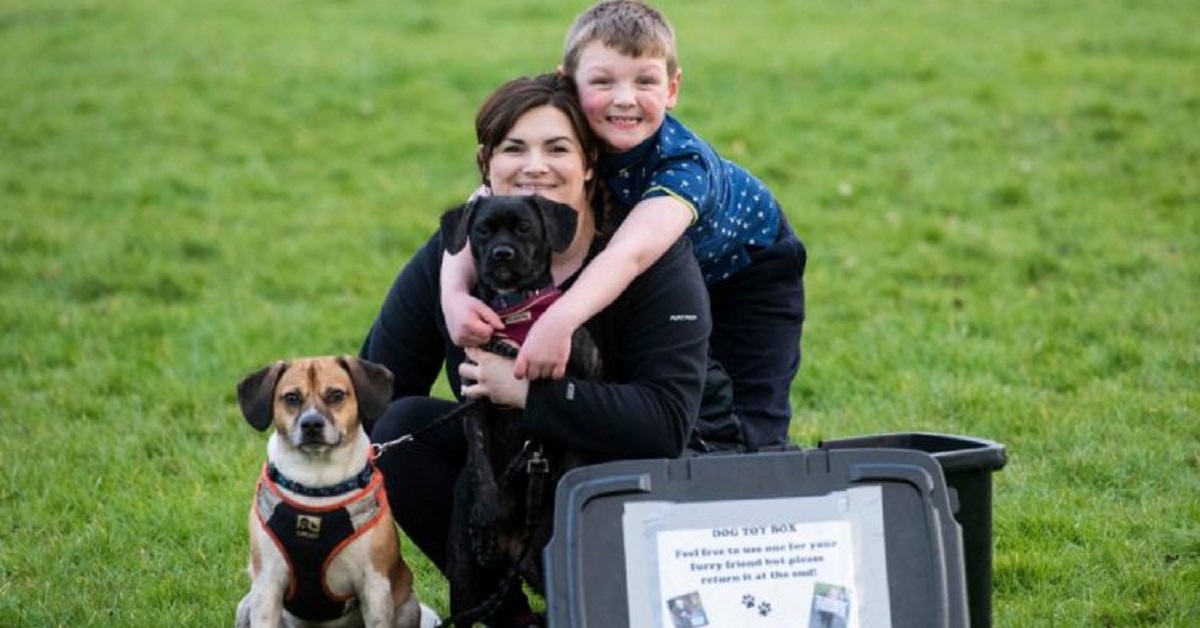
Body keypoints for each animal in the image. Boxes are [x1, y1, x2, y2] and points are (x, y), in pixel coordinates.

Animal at [234, 355, 441, 628]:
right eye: (291, 398)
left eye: (336, 395)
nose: (311, 423)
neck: (317, 487)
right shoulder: (267, 583)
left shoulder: (374, 585)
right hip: (245, 605)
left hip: (408, 607)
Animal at [439, 195, 600, 624]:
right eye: (482, 230)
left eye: (525, 228)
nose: (502, 253)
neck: (515, 314)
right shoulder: (474, 398)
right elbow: (480, 459)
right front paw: (486, 506)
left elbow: (575, 454)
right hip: (466, 580)